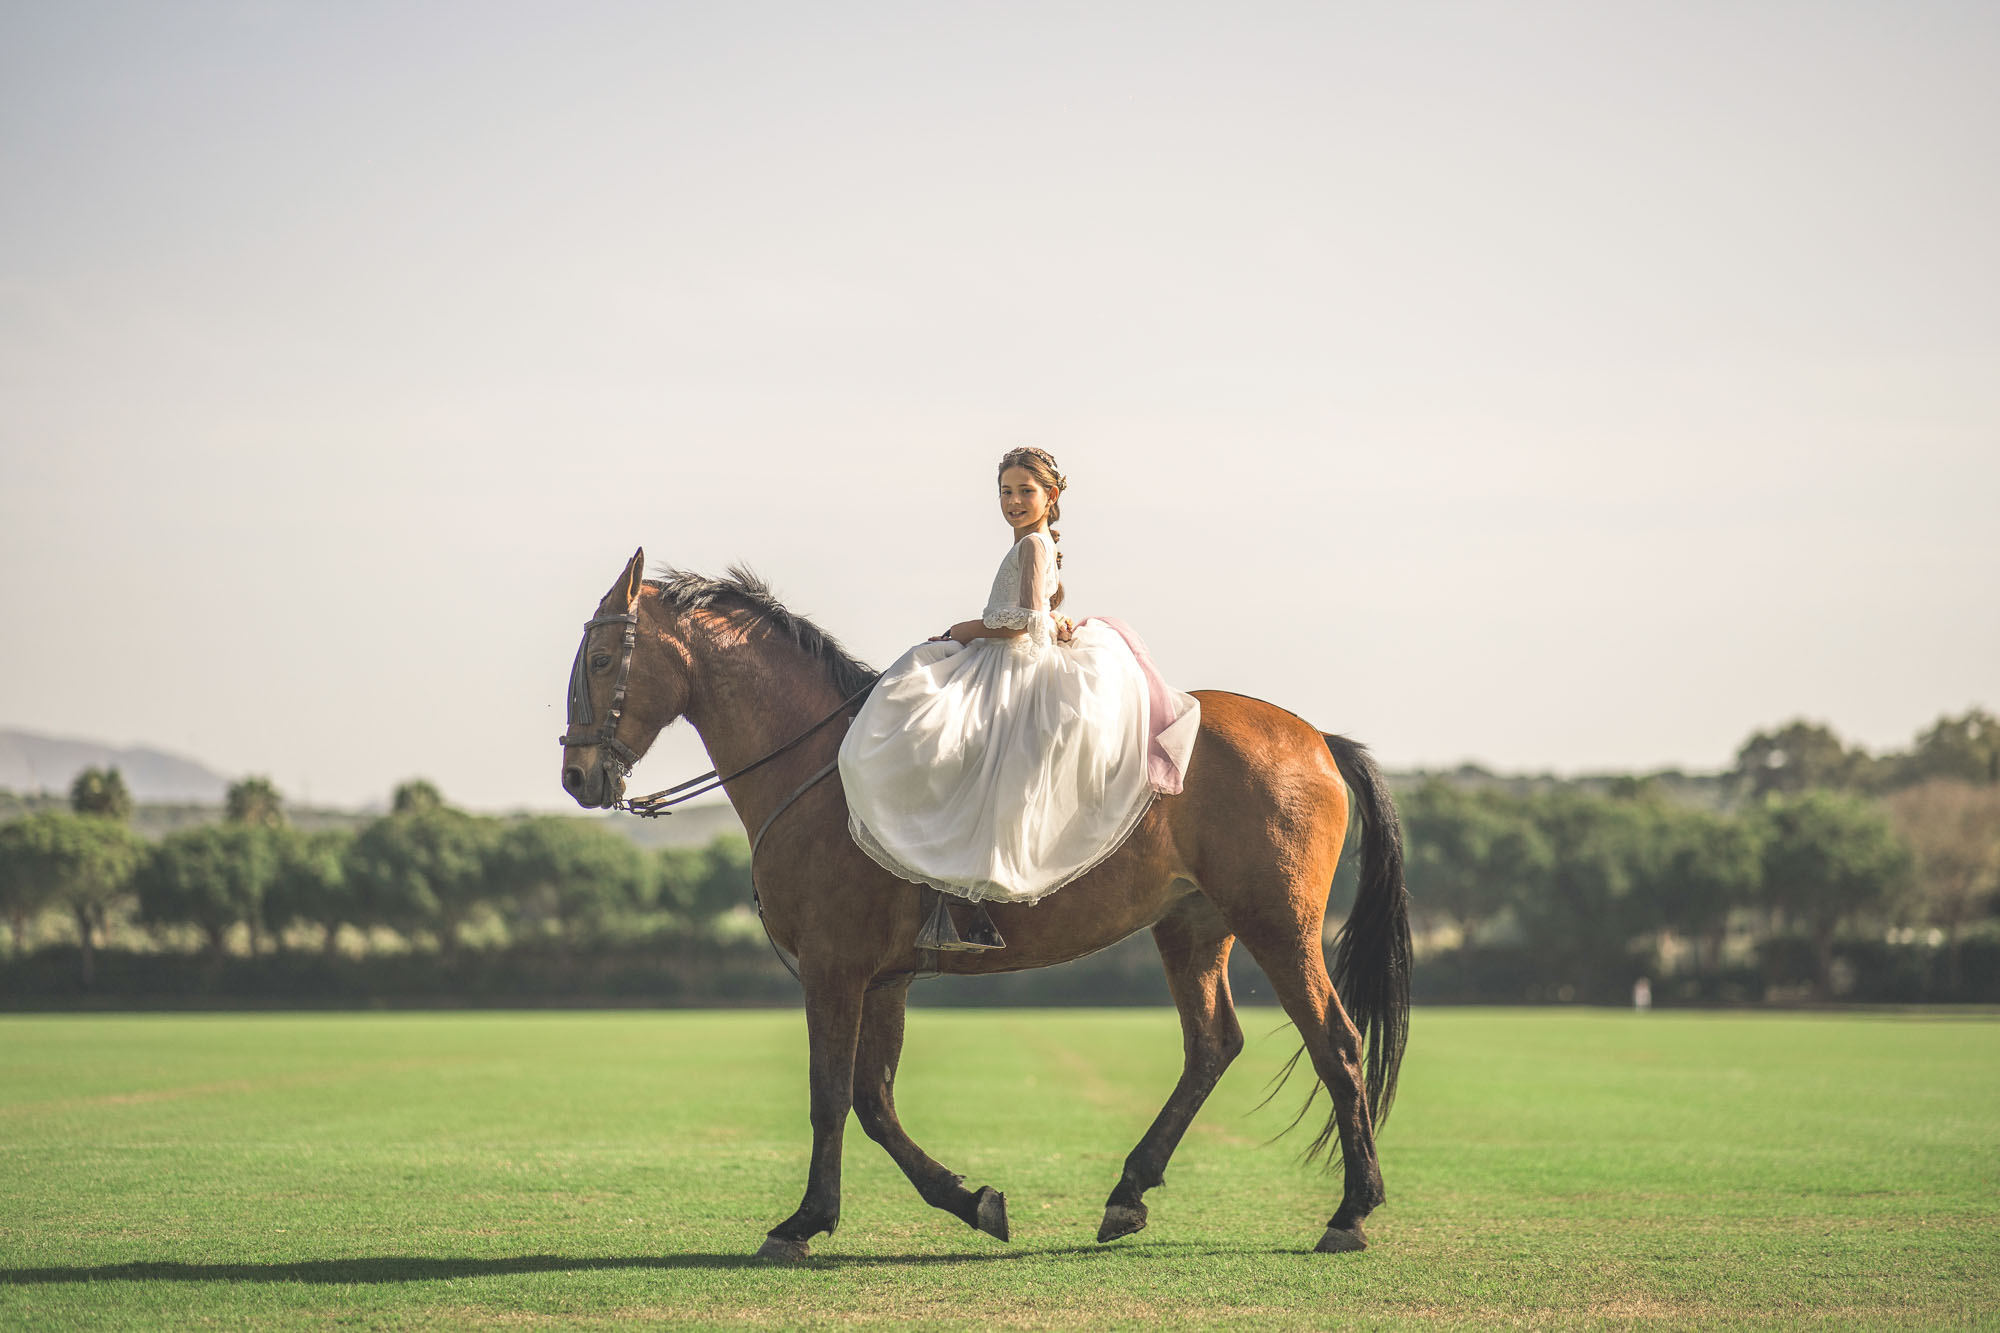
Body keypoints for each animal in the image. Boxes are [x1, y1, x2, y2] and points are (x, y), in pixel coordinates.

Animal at [559, 548, 1411, 1259]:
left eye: (600, 660)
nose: (577, 776)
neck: (818, 766)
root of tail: (1316, 737)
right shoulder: (884, 978)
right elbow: (873, 1100)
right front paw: (971, 1200)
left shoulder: (836, 970)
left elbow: (831, 1096)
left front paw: (803, 1222)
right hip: (1192, 927)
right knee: (1211, 1045)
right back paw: (1129, 1192)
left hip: (1279, 926)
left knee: (1336, 1043)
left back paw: (1350, 1211)